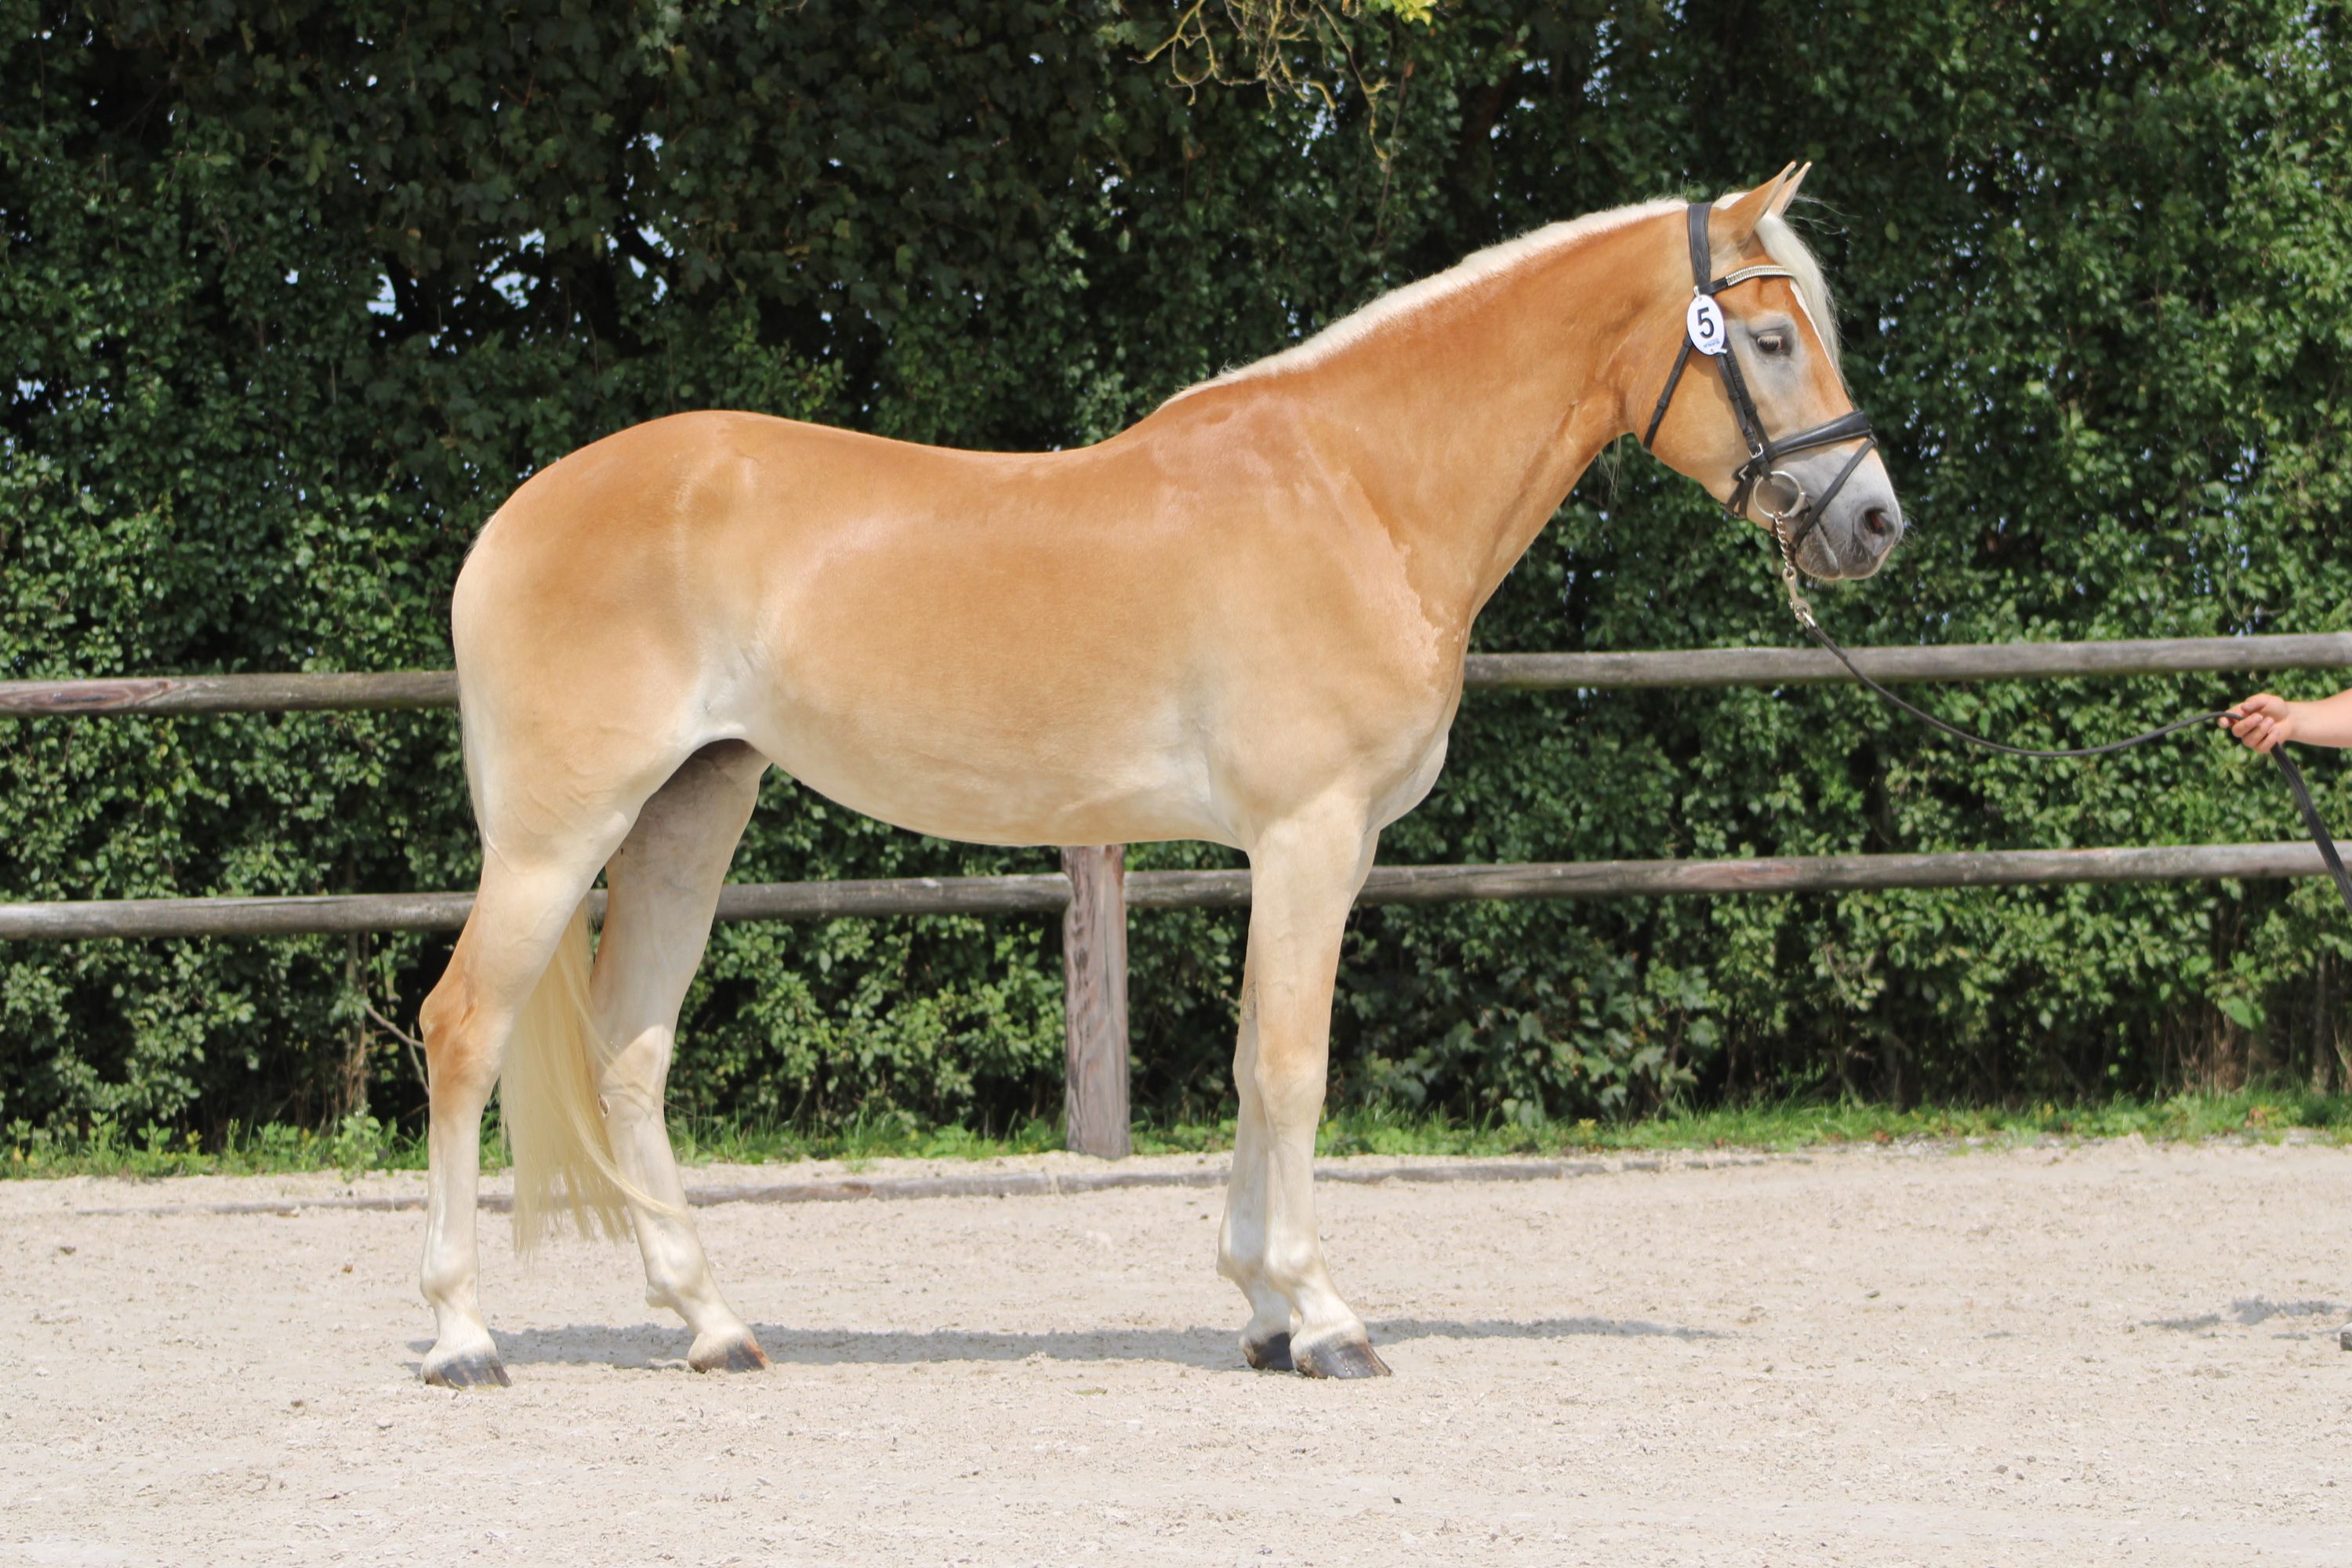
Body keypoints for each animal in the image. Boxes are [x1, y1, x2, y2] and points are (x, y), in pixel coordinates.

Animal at [414, 163, 1903, 1387]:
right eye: (1770, 339)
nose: (1875, 519)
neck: (1357, 490)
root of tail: (516, 515)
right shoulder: (1311, 835)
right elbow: (1295, 1066)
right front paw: (1325, 1318)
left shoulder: (1303, 850)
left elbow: (1251, 1058)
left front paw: (1261, 1309)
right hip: (556, 838)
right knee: (463, 1030)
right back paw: (464, 1338)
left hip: (693, 807)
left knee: (630, 1051)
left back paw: (713, 1325)